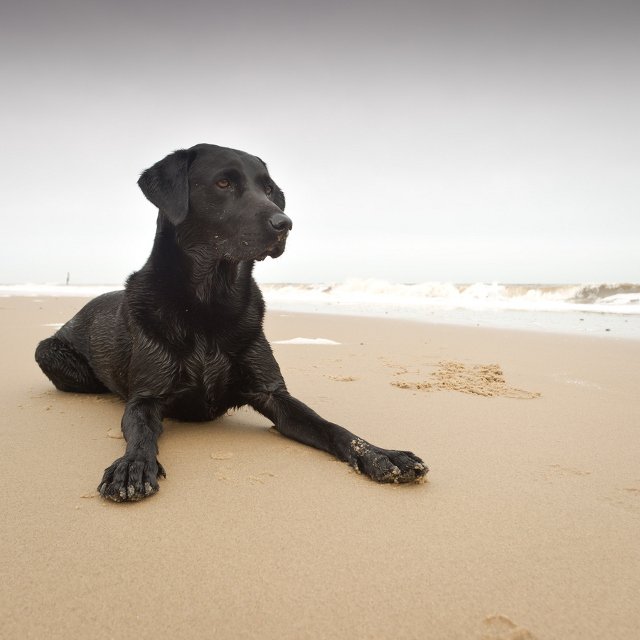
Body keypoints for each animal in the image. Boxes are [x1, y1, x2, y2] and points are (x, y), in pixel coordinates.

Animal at [33, 144, 424, 500]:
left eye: (269, 189)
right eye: (223, 183)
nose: (285, 224)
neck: (209, 304)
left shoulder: (273, 393)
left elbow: (333, 427)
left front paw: (380, 454)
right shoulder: (145, 397)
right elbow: (141, 434)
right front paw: (133, 466)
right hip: (47, 352)